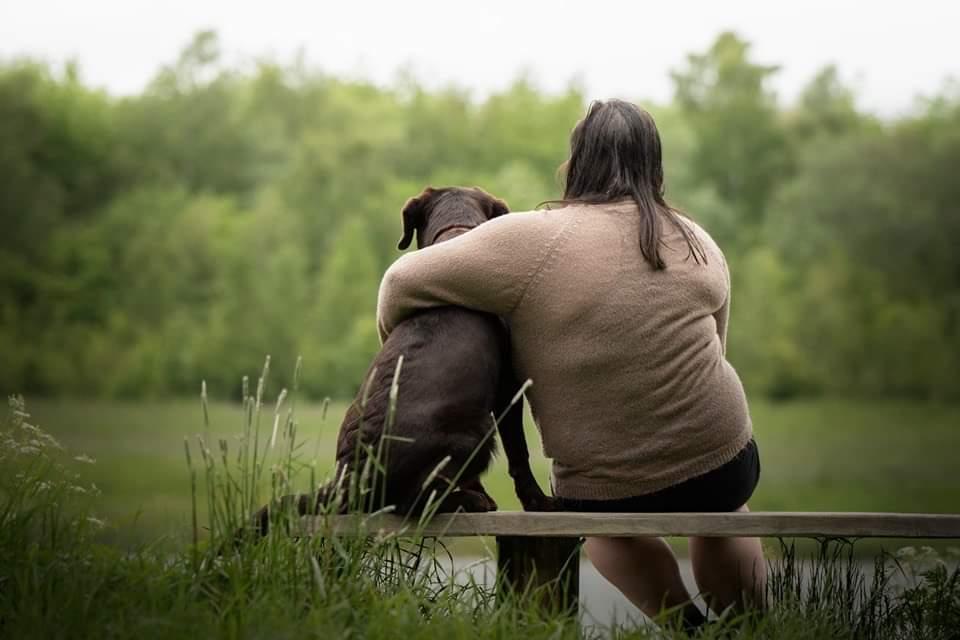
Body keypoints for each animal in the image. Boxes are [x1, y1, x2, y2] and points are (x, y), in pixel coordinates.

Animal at [251, 188, 556, 532]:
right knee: (413, 501)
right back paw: (466, 501)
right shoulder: (508, 387)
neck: (455, 235)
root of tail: (351, 479)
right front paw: (536, 502)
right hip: (477, 430)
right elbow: (519, 453)